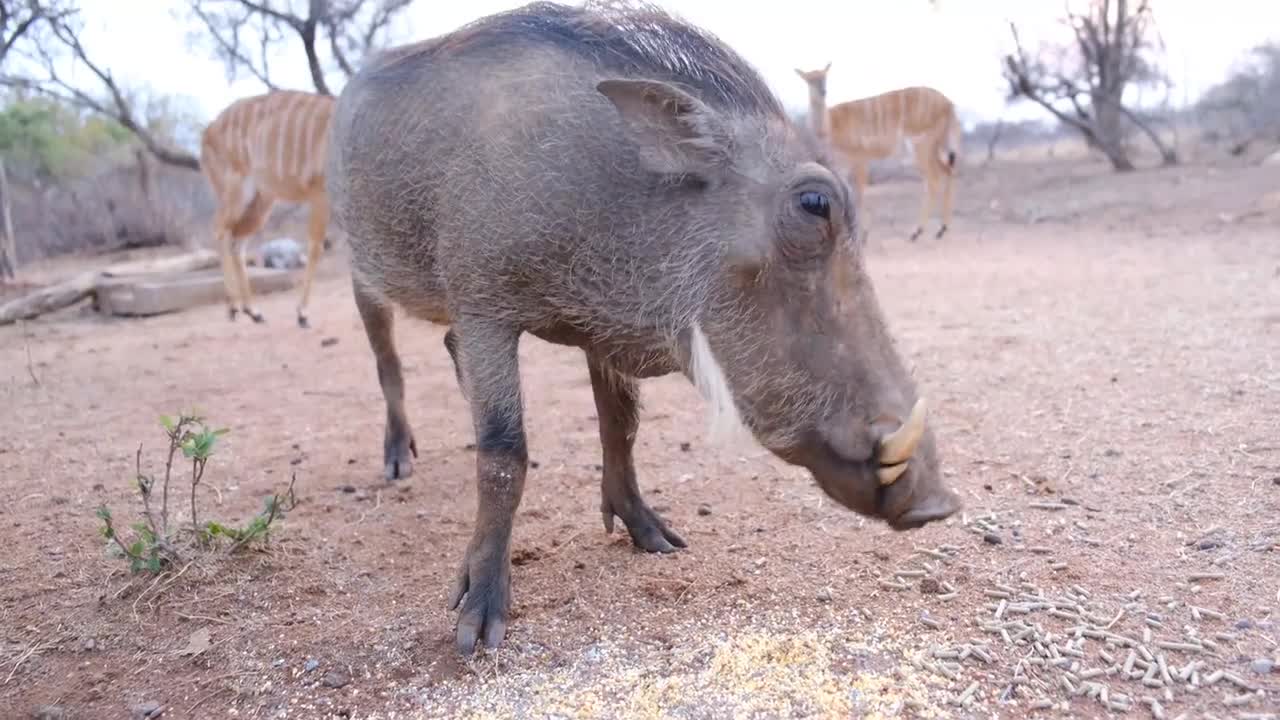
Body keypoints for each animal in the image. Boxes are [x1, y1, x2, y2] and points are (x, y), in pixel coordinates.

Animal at [326, 0, 962, 655]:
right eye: (815, 205)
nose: (937, 503)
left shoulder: (607, 328)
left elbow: (621, 428)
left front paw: (650, 534)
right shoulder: (485, 311)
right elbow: (504, 455)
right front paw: (478, 619)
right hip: (362, 271)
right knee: (388, 362)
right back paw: (397, 462)